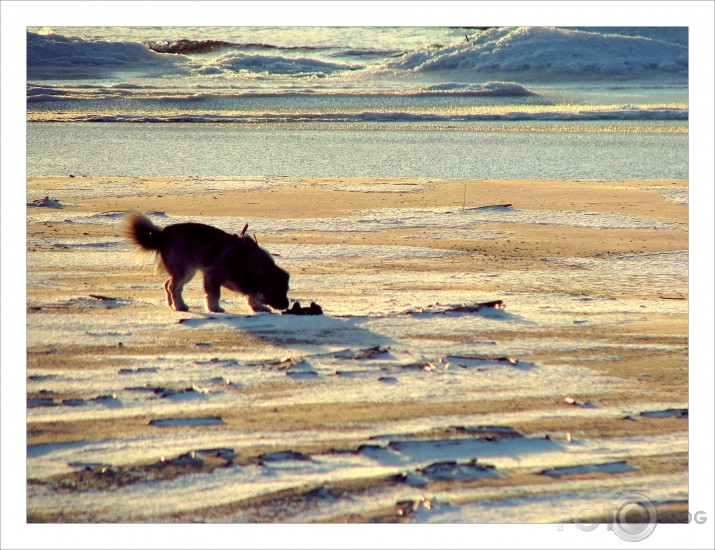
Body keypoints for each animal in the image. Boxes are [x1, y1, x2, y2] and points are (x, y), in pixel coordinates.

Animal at [121, 215, 290, 314]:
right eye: (273, 291)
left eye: (286, 290)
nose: (286, 306)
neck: (244, 260)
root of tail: (162, 234)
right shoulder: (212, 275)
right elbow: (214, 294)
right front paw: (214, 308)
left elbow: (251, 295)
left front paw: (257, 307)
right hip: (184, 270)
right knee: (174, 287)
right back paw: (180, 305)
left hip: (187, 272)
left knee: (168, 284)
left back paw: (172, 304)